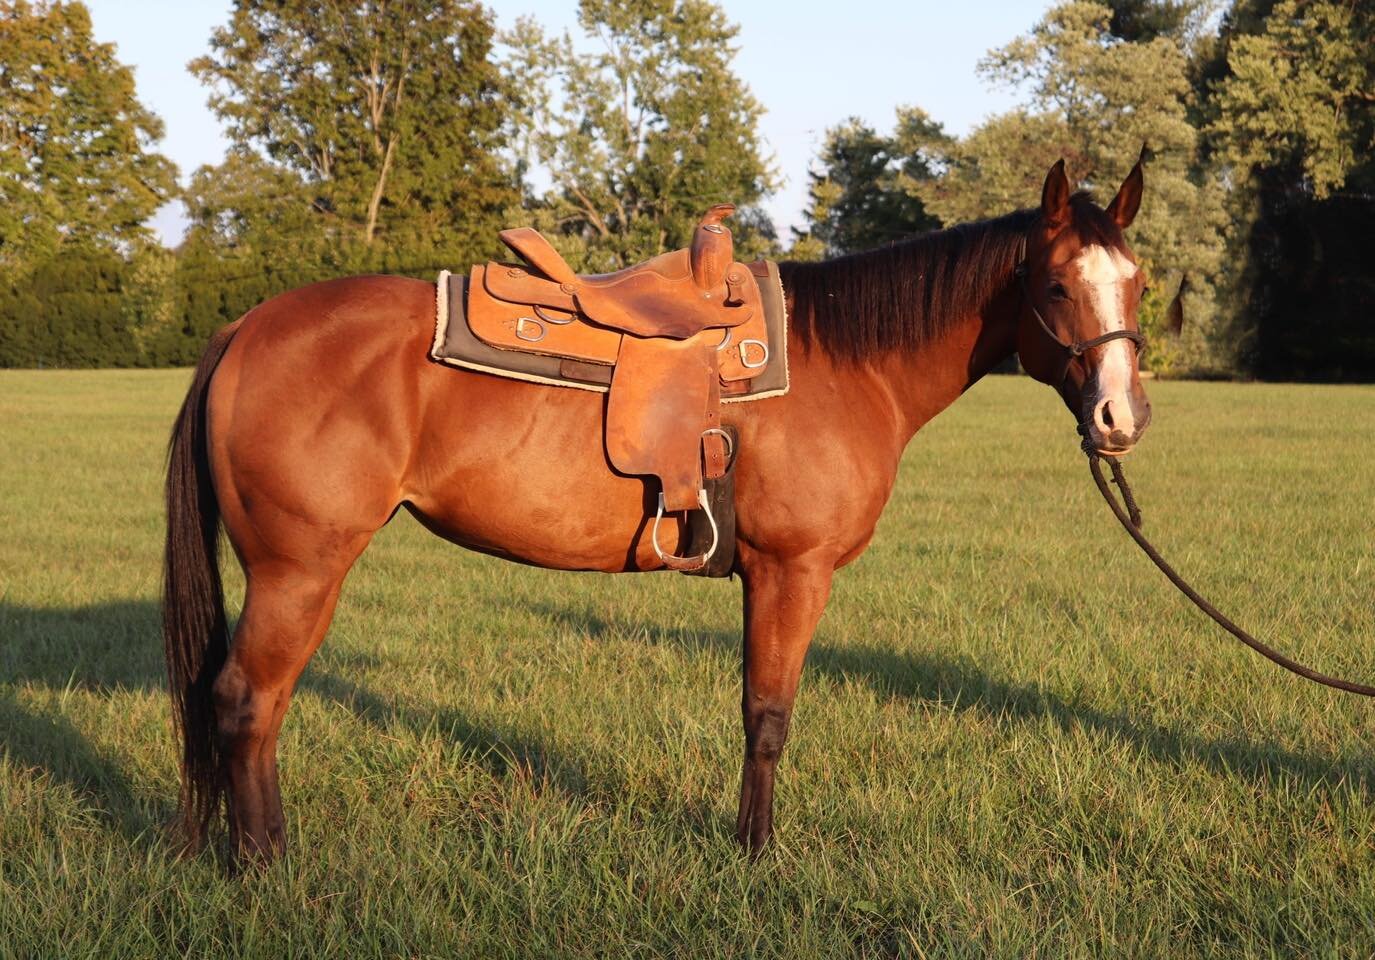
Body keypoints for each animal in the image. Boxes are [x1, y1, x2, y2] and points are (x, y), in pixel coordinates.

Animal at [163, 156, 1154, 863]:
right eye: (1057, 286)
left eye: (1138, 282)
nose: (1121, 418)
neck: (849, 361)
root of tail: (246, 328)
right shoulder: (790, 572)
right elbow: (768, 715)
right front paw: (756, 855)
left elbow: (758, 710)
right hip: (301, 569)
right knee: (246, 701)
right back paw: (263, 868)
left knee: (259, 707)